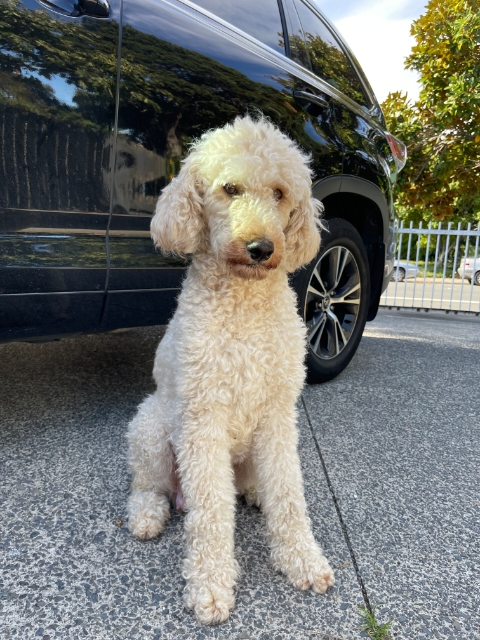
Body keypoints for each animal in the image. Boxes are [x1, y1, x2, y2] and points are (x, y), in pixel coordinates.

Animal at [126, 116, 334, 624]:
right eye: (230, 188)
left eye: (279, 192)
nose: (261, 246)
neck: (243, 302)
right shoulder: (204, 419)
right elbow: (212, 511)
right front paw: (211, 584)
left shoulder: (277, 413)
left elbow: (288, 494)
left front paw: (303, 559)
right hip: (152, 427)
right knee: (150, 485)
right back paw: (147, 515)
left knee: (253, 485)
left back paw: (255, 493)